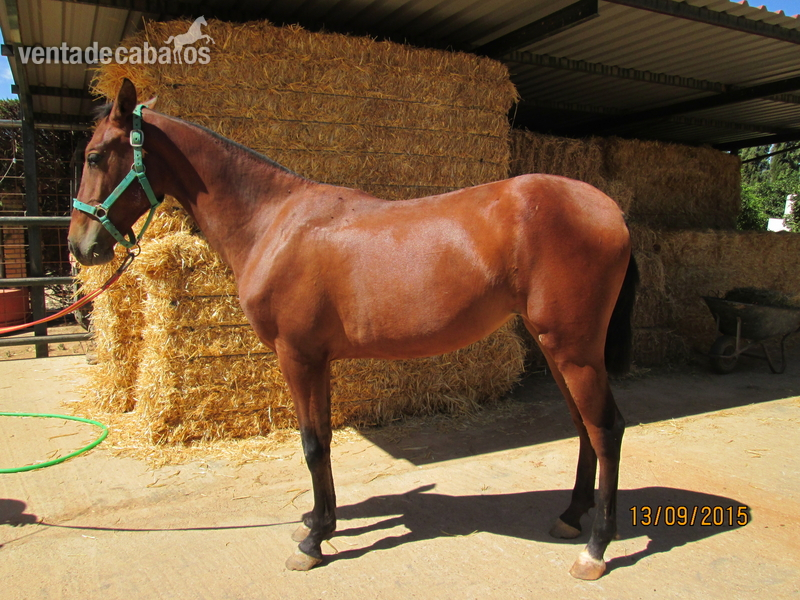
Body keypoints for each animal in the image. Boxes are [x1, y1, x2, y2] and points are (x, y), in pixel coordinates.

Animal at [69, 79, 638, 580]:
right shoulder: (317, 359)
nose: (80, 246)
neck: (275, 222)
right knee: (584, 425)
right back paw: (571, 516)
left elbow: (312, 443)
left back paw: (595, 549)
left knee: (606, 428)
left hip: (574, 349)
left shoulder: (297, 356)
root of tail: (610, 209)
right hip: (557, 347)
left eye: (95, 156)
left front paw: (314, 541)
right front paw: (320, 521)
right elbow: (321, 438)